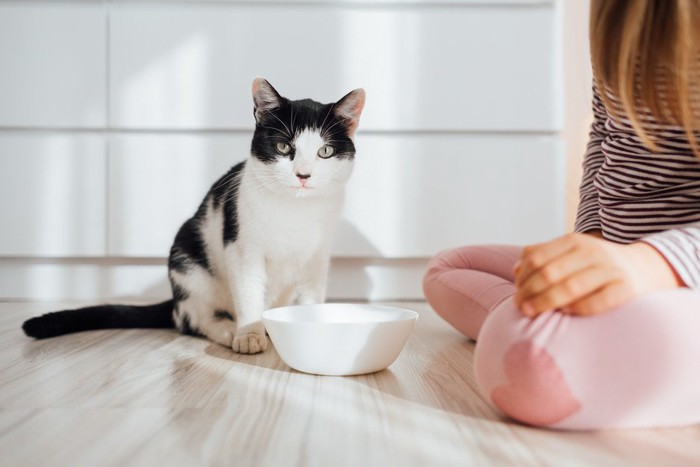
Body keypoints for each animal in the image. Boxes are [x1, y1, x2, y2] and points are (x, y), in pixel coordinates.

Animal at [21, 78, 366, 354]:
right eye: (283, 146)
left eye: (325, 152)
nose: (303, 175)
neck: (295, 210)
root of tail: (175, 300)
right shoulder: (242, 248)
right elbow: (249, 293)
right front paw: (249, 333)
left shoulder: (317, 257)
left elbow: (311, 298)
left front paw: (314, 330)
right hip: (188, 263)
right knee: (193, 320)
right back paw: (228, 330)